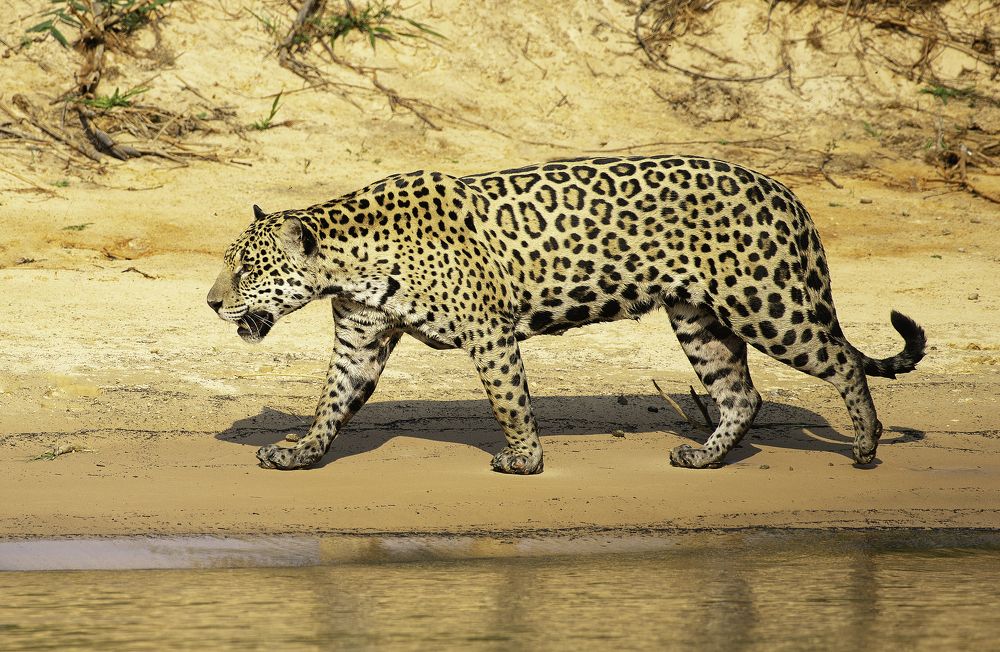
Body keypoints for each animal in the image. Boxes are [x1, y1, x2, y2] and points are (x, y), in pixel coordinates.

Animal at [207, 155, 926, 474]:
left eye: (246, 269)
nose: (211, 302)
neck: (352, 257)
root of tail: (787, 193)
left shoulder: (488, 332)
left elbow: (508, 401)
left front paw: (524, 460)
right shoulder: (361, 336)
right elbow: (332, 401)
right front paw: (301, 452)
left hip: (768, 304)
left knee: (841, 362)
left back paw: (865, 445)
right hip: (698, 318)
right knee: (741, 393)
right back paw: (703, 457)